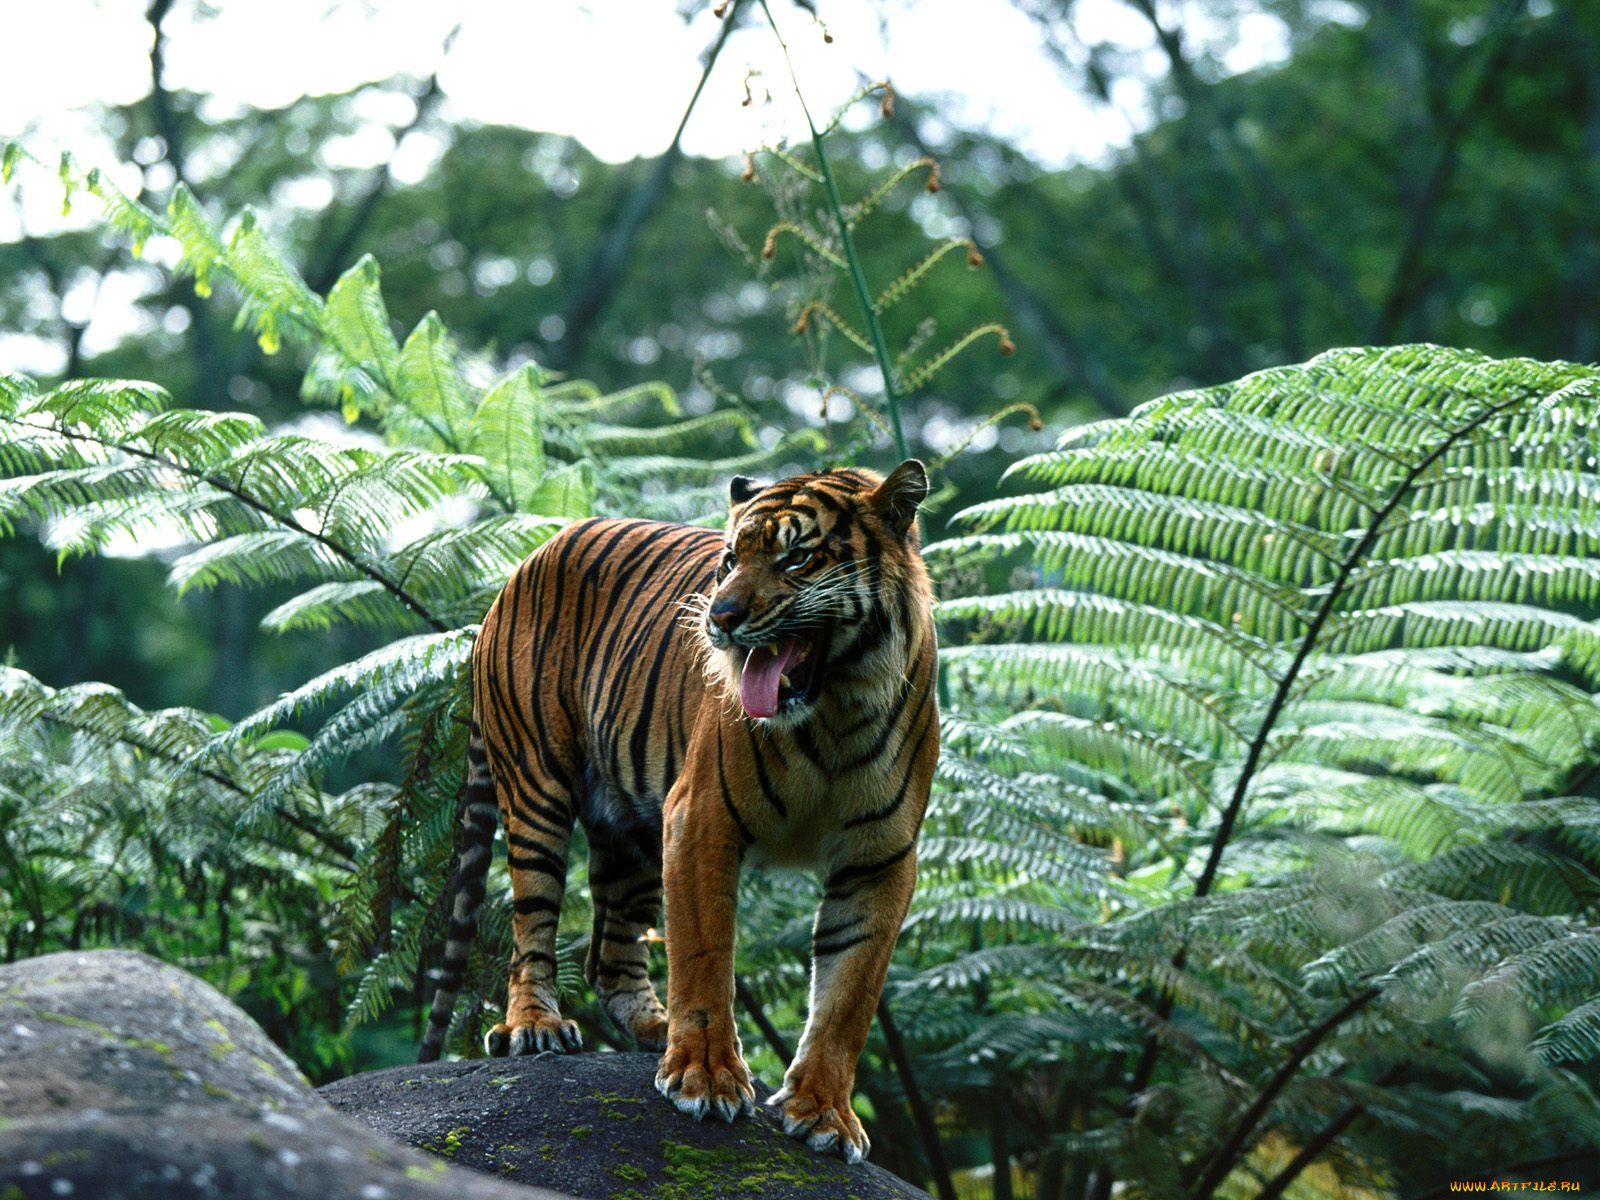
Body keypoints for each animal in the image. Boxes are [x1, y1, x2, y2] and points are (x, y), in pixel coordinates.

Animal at [418, 460, 939, 1164]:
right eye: (730, 560)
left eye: (797, 558)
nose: (720, 616)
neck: (835, 710)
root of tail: (526, 562)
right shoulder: (701, 817)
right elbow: (705, 954)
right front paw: (706, 1078)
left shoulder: (880, 858)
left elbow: (848, 995)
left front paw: (824, 1114)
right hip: (535, 786)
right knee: (530, 926)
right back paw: (535, 1026)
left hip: (630, 826)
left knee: (610, 956)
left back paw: (652, 1028)